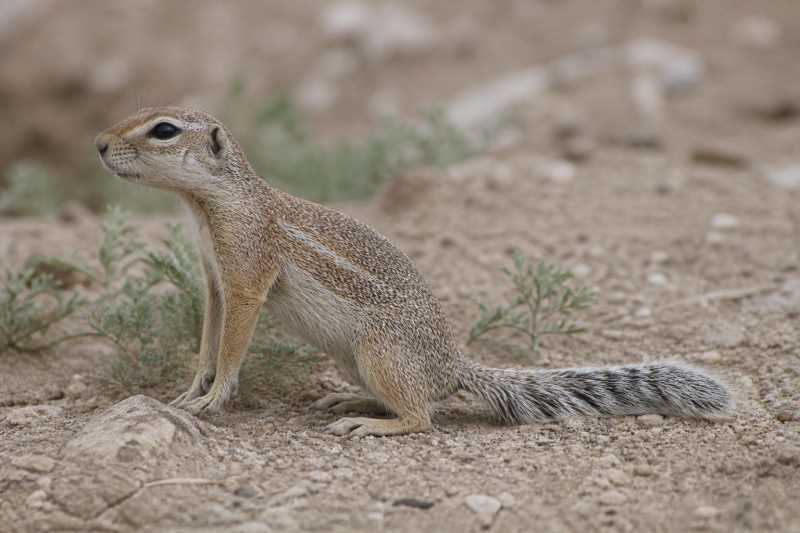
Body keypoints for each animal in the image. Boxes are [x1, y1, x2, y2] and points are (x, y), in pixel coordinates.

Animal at [94, 106, 733, 437]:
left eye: (163, 130)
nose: (98, 143)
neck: (209, 204)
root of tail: (450, 367)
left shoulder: (247, 274)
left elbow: (232, 347)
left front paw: (212, 399)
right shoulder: (214, 280)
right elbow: (207, 339)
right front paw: (188, 392)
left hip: (379, 353)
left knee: (423, 417)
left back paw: (372, 425)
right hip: (355, 359)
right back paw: (348, 403)